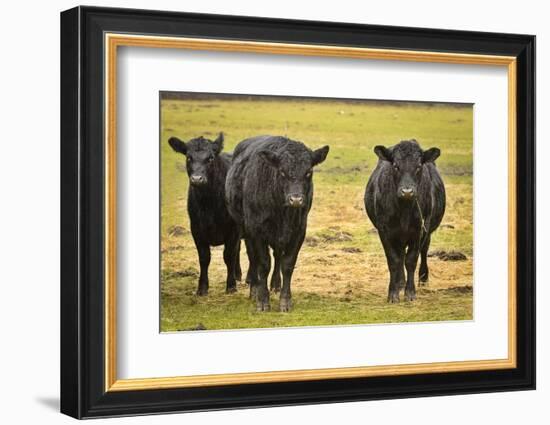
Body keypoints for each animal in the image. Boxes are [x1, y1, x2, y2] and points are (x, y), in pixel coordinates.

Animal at [169, 132, 243, 294]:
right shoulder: (196, 228)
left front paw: (231, 285)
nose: (197, 179)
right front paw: (202, 287)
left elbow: (229, 255)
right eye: (188, 157)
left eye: (210, 158)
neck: (209, 203)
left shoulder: (233, 229)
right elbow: (204, 258)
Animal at [226, 136, 330, 312]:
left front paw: (285, 300)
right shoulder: (257, 231)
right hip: (245, 229)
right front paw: (262, 300)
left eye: (308, 172)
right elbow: (263, 264)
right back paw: (254, 289)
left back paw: (275, 284)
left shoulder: (298, 232)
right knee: (253, 258)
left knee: (277, 256)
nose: (296, 199)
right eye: (282, 172)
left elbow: (287, 264)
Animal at [366, 139, 448, 302]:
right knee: (400, 256)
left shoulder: (419, 230)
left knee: (423, 251)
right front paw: (393, 293)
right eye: (395, 165)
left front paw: (410, 293)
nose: (407, 192)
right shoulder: (384, 231)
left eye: (419, 166)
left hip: (426, 232)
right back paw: (400, 282)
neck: (404, 209)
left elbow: (411, 260)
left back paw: (423, 279)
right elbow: (393, 260)